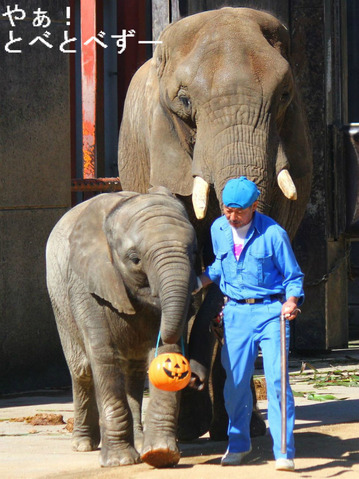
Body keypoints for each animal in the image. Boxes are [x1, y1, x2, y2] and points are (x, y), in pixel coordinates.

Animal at [45, 188, 198, 468]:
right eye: (135, 259)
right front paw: (120, 461)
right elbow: (104, 355)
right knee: (81, 370)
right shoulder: (86, 285)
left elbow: (164, 352)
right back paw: (83, 445)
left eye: (194, 254)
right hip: (58, 300)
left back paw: (138, 440)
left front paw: (161, 454)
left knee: (133, 372)